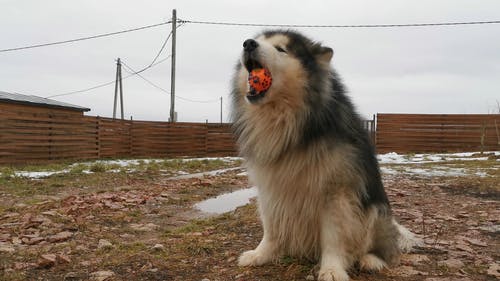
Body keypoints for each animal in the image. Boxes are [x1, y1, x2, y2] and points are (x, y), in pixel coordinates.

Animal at [229, 29, 418, 278]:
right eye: (258, 40)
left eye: (281, 49)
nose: (248, 44)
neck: (288, 122)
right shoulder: (270, 189)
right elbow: (271, 228)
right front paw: (260, 254)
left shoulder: (336, 193)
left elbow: (333, 236)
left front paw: (332, 270)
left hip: (375, 211)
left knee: (380, 248)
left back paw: (371, 259)